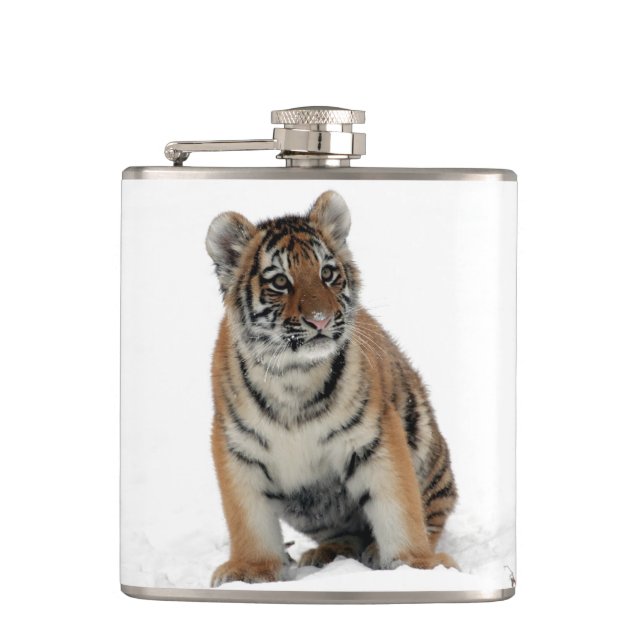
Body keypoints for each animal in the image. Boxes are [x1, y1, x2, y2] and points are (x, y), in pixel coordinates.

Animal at [206, 190, 457, 587]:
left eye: (327, 273)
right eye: (280, 282)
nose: (320, 320)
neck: (293, 374)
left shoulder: (375, 437)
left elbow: (399, 507)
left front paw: (417, 567)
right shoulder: (236, 447)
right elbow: (247, 519)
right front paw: (250, 570)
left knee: (429, 517)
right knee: (345, 532)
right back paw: (329, 553)